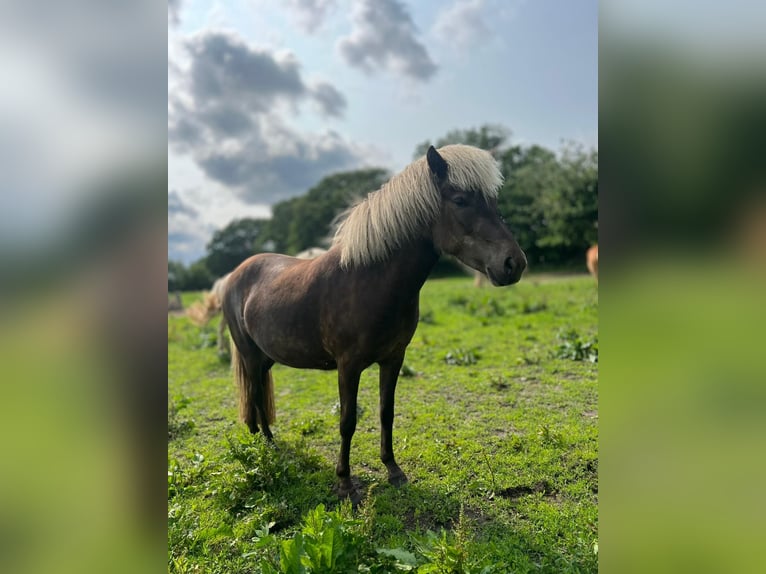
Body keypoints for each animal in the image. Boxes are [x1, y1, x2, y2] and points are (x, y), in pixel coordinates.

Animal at [221, 145, 527, 501]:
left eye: (493, 201)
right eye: (461, 200)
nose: (514, 263)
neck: (369, 280)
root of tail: (236, 273)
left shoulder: (394, 359)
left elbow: (386, 412)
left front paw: (393, 470)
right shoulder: (348, 366)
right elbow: (347, 421)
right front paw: (345, 483)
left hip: (266, 357)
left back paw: (261, 438)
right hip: (249, 354)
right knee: (254, 392)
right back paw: (266, 444)